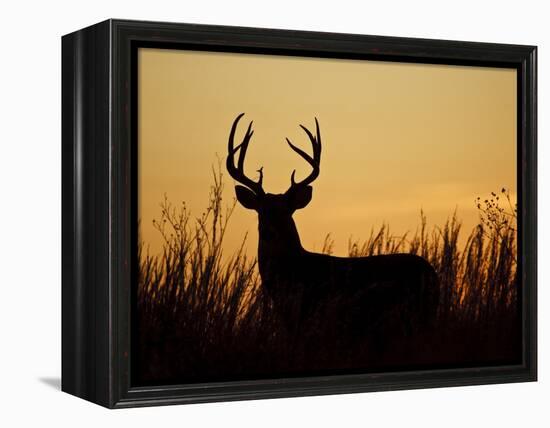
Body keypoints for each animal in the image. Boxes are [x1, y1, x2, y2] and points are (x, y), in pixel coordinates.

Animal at [227, 112, 440, 342]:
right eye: (261, 211)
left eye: (286, 211)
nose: (268, 232)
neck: (295, 270)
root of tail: (432, 273)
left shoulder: (309, 314)